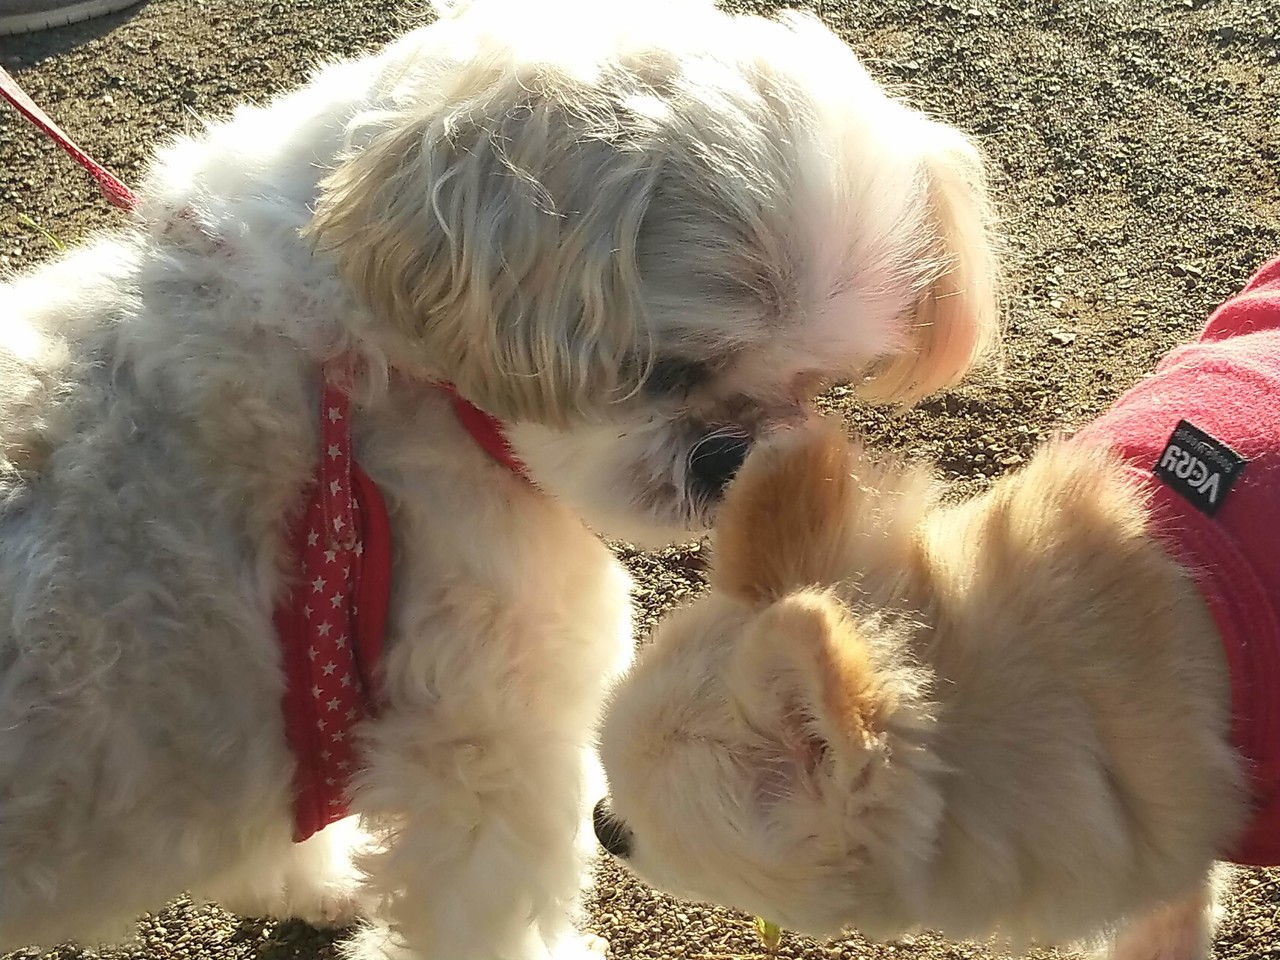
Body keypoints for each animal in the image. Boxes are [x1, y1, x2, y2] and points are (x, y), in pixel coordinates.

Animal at [0, 1, 998, 960]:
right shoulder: (500, 742)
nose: (730, 459)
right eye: (666, 370)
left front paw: (315, 885)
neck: (363, 376)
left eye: (817, 384)